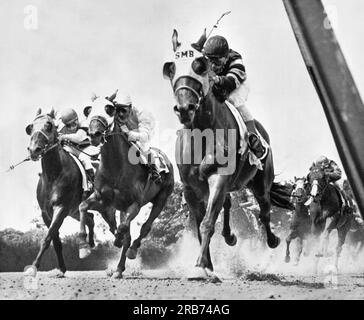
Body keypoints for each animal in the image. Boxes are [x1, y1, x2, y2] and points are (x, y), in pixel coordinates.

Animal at [162, 30, 292, 280]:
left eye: (200, 66)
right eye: (171, 68)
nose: (184, 109)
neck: (201, 133)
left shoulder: (219, 178)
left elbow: (207, 223)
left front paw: (200, 266)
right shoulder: (190, 188)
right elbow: (200, 226)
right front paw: (207, 265)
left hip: (260, 183)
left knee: (264, 211)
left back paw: (272, 240)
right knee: (230, 203)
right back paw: (230, 236)